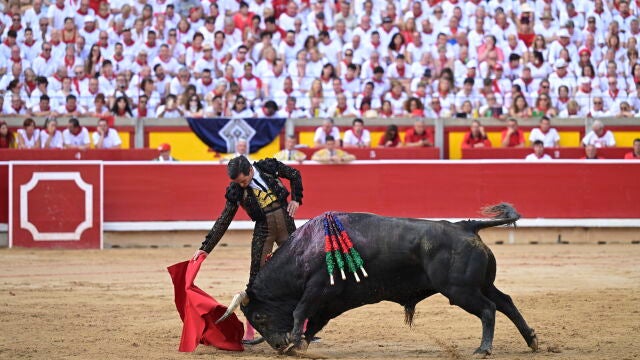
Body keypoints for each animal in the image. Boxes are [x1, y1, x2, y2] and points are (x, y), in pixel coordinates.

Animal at [218, 204, 536, 356]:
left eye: (259, 316)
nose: (277, 346)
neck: (303, 250)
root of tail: (466, 226)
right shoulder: (331, 302)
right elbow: (314, 322)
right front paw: (301, 344)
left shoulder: (317, 288)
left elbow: (300, 312)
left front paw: (295, 342)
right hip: (481, 284)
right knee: (506, 302)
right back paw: (531, 340)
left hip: (460, 290)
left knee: (488, 309)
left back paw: (483, 349)